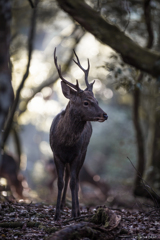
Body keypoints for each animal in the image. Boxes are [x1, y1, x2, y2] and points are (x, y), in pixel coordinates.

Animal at [49, 47, 108, 220]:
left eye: (97, 101)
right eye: (86, 102)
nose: (105, 115)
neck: (66, 143)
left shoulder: (77, 154)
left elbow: (74, 182)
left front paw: (75, 213)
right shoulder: (56, 154)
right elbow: (60, 182)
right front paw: (56, 214)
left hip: (84, 152)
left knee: (76, 178)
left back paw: (75, 210)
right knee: (68, 177)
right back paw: (63, 206)